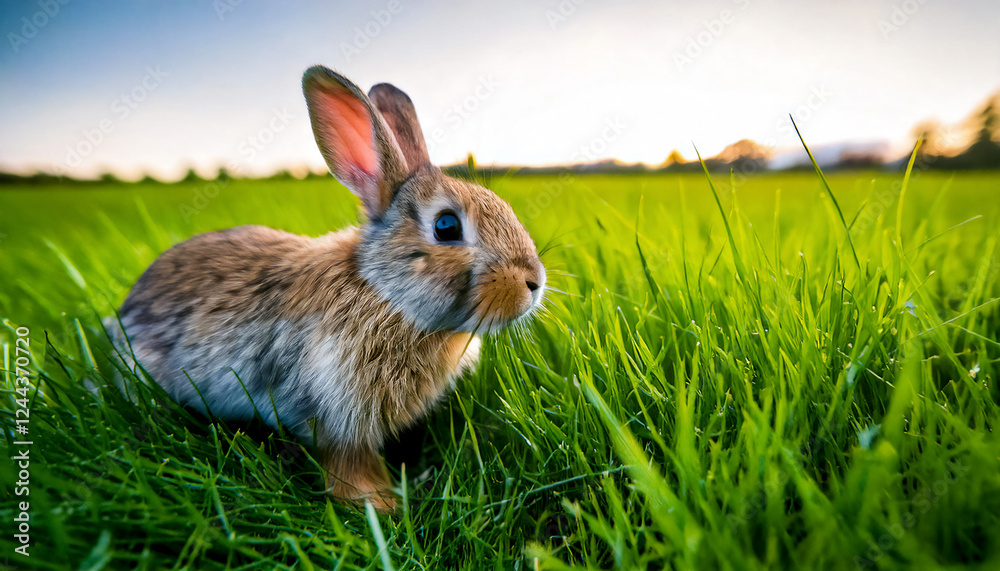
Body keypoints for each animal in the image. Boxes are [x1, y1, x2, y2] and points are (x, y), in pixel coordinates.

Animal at [108, 66, 546, 511]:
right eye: (446, 226)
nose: (533, 283)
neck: (384, 293)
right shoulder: (335, 411)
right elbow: (348, 462)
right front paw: (379, 505)